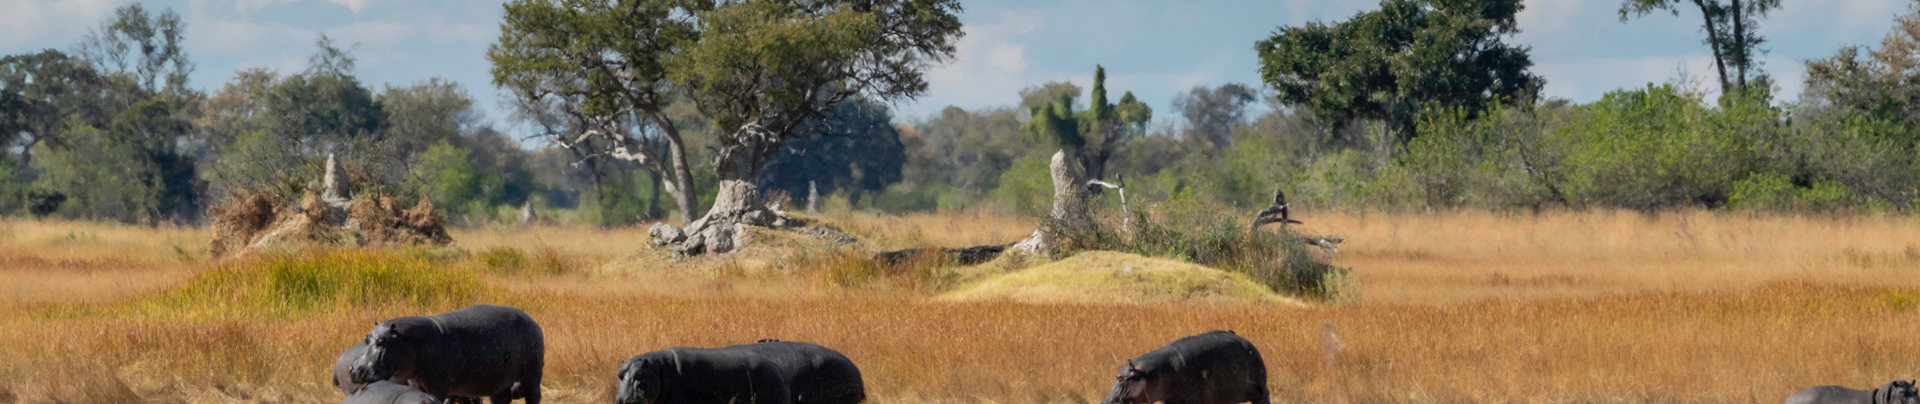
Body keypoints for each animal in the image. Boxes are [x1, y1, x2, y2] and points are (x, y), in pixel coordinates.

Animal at [348, 305, 544, 404]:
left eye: (382, 341)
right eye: (366, 338)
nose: (356, 370)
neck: (411, 339)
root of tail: (533, 320)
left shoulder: (438, 386)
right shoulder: (416, 383)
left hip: (532, 375)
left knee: (534, 396)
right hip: (499, 383)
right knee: (501, 399)